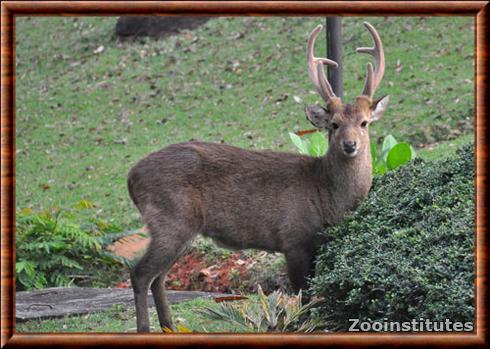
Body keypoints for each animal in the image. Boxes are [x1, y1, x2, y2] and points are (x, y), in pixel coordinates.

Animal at [128, 22, 388, 332]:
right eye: (334, 125)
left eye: (364, 123)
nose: (350, 145)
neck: (326, 198)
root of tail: (131, 179)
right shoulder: (293, 237)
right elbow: (302, 292)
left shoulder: (316, 243)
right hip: (170, 219)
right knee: (140, 274)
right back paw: (146, 328)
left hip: (180, 229)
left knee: (159, 277)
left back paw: (170, 327)